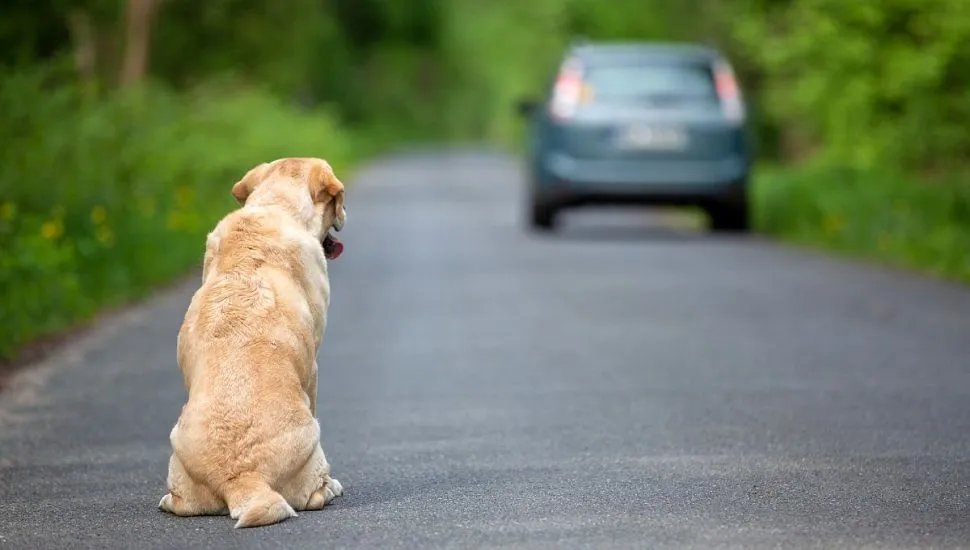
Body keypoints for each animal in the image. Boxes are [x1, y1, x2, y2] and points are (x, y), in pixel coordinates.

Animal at [162, 157, 348, 528]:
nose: (345, 215)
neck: (275, 206)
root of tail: (243, 478)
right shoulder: (314, 368)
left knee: (180, 502)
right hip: (312, 440)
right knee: (314, 494)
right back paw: (331, 487)